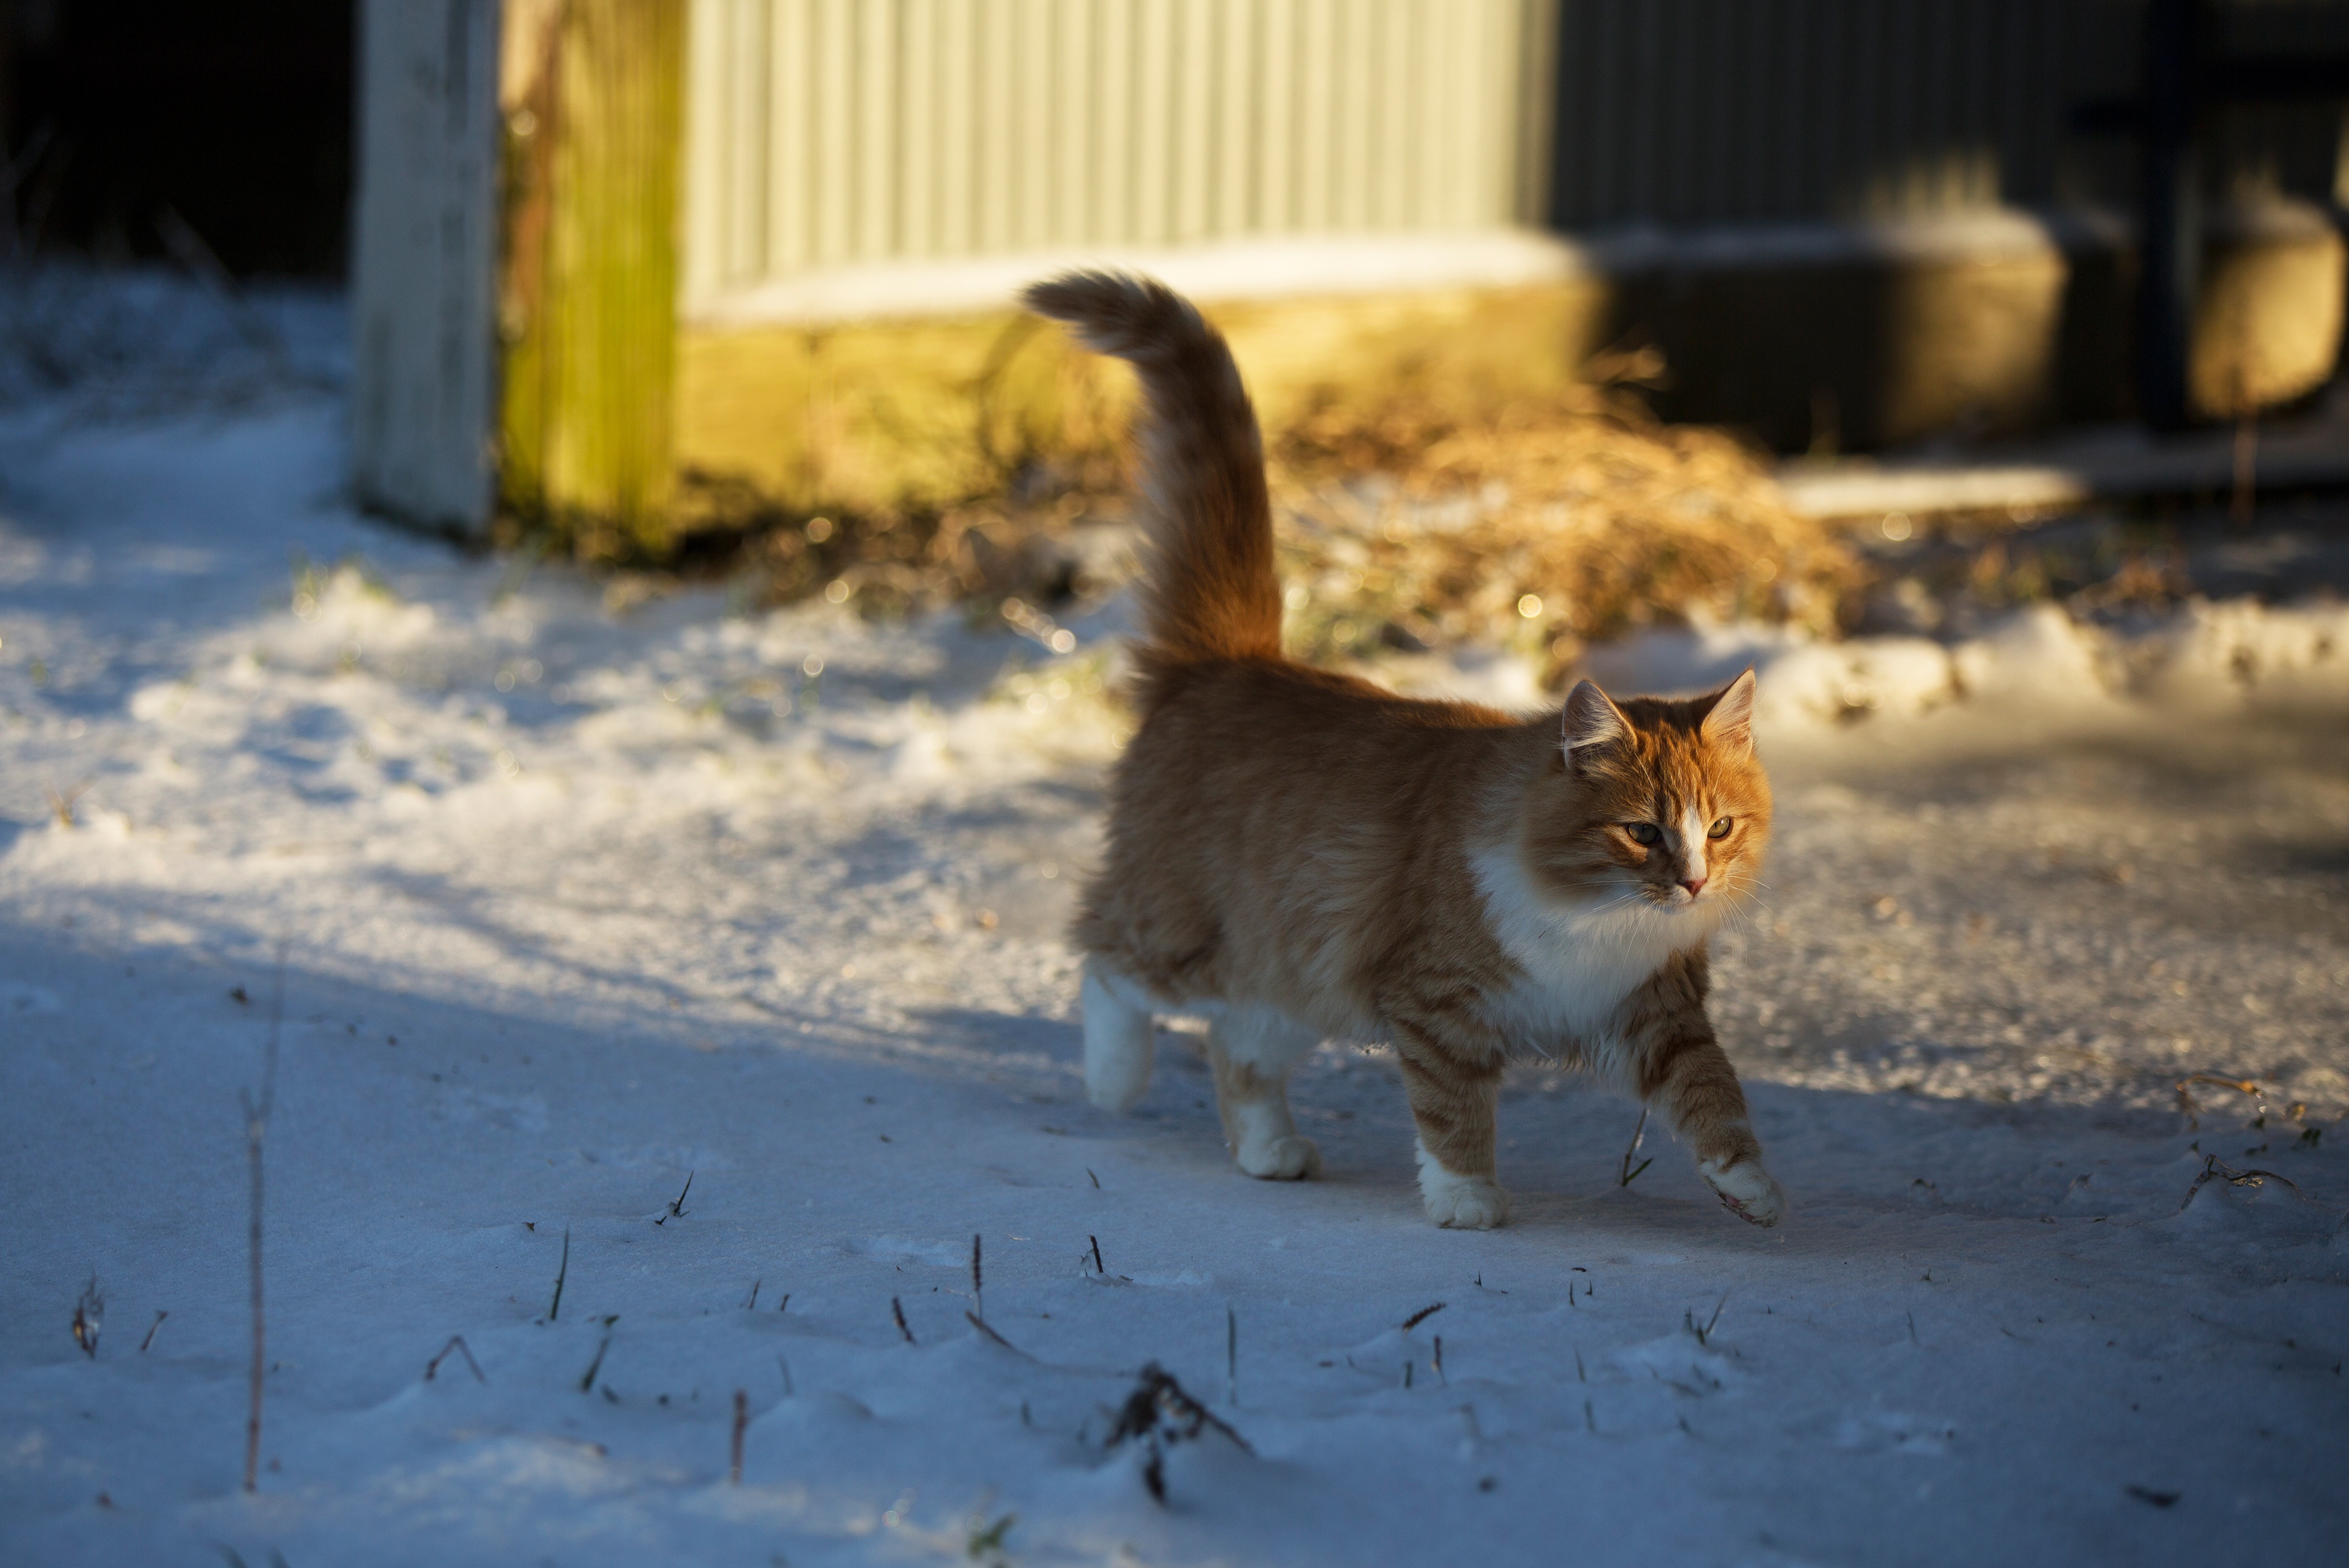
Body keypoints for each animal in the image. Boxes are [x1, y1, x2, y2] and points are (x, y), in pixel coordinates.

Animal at [1024, 270, 1776, 1232]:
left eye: (1719, 828)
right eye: (1642, 831)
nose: (1693, 882)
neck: (1597, 920)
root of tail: (1238, 661)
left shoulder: (1655, 1011)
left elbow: (1713, 1091)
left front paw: (1749, 1184)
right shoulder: (1438, 1002)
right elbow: (1453, 1111)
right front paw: (1467, 1200)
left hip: (1294, 971)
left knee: (1238, 1046)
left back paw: (1269, 1151)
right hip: (1189, 932)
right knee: (1105, 959)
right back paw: (1114, 1080)